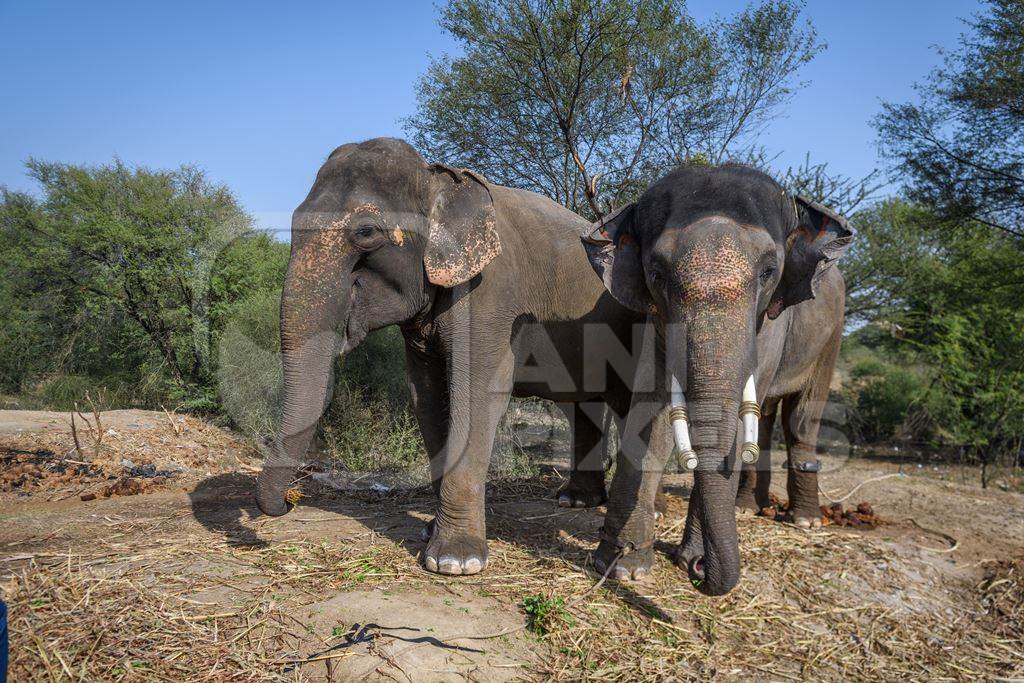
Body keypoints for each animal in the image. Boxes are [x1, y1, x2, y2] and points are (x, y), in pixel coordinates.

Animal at [254, 139, 655, 577]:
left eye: (366, 233)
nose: (288, 503)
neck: (437, 180)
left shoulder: (489, 294)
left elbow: (478, 391)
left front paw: (454, 562)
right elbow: (427, 395)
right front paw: (430, 531)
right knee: (584, 403)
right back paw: (576, 501)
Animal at [581, 162, 851, 593]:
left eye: (768, 271)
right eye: (656, 273)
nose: (699, 572)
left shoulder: (770, 322)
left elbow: (738, 420)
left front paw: (686, 559)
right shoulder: (657, 316)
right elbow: (651, 413)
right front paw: (621, 566)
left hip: (832, 337)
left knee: (801, 418)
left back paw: (805, 521)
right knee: (767, 417)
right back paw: (744, 508)